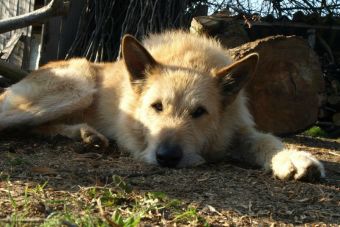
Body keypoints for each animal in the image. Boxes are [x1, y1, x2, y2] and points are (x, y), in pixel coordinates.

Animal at [0, 30, 324, 181]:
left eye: (199, 112)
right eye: (156, 106)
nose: (167, 157)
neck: (188, 59)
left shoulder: (236, 129)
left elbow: (266, 140)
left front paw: (293, 158)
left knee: (37, 128)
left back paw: (85, 134)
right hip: (79, 85)